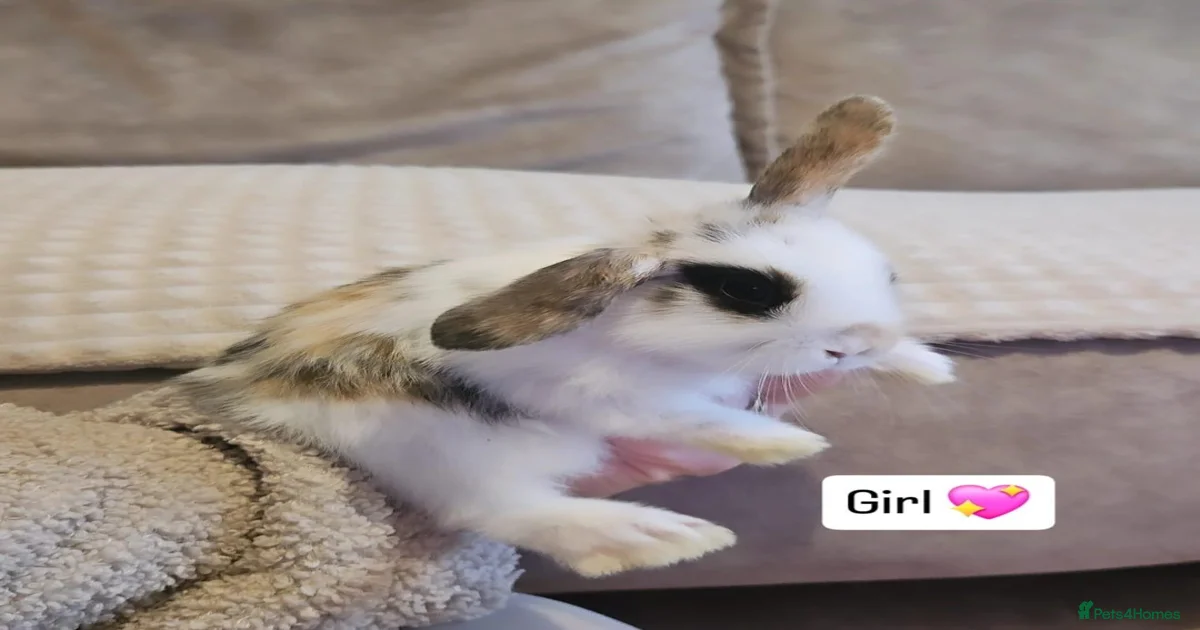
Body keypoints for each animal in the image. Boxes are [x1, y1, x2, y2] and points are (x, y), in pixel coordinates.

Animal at [176, 95, 955, 578]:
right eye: (746, 292)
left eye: (882, 270)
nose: (856, 342)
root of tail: (226, 395)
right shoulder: (609, 398)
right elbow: (690, 416)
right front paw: (783, 444)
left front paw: (926, 367)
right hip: (438, 446)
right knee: (502, 509)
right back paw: (662, 538)